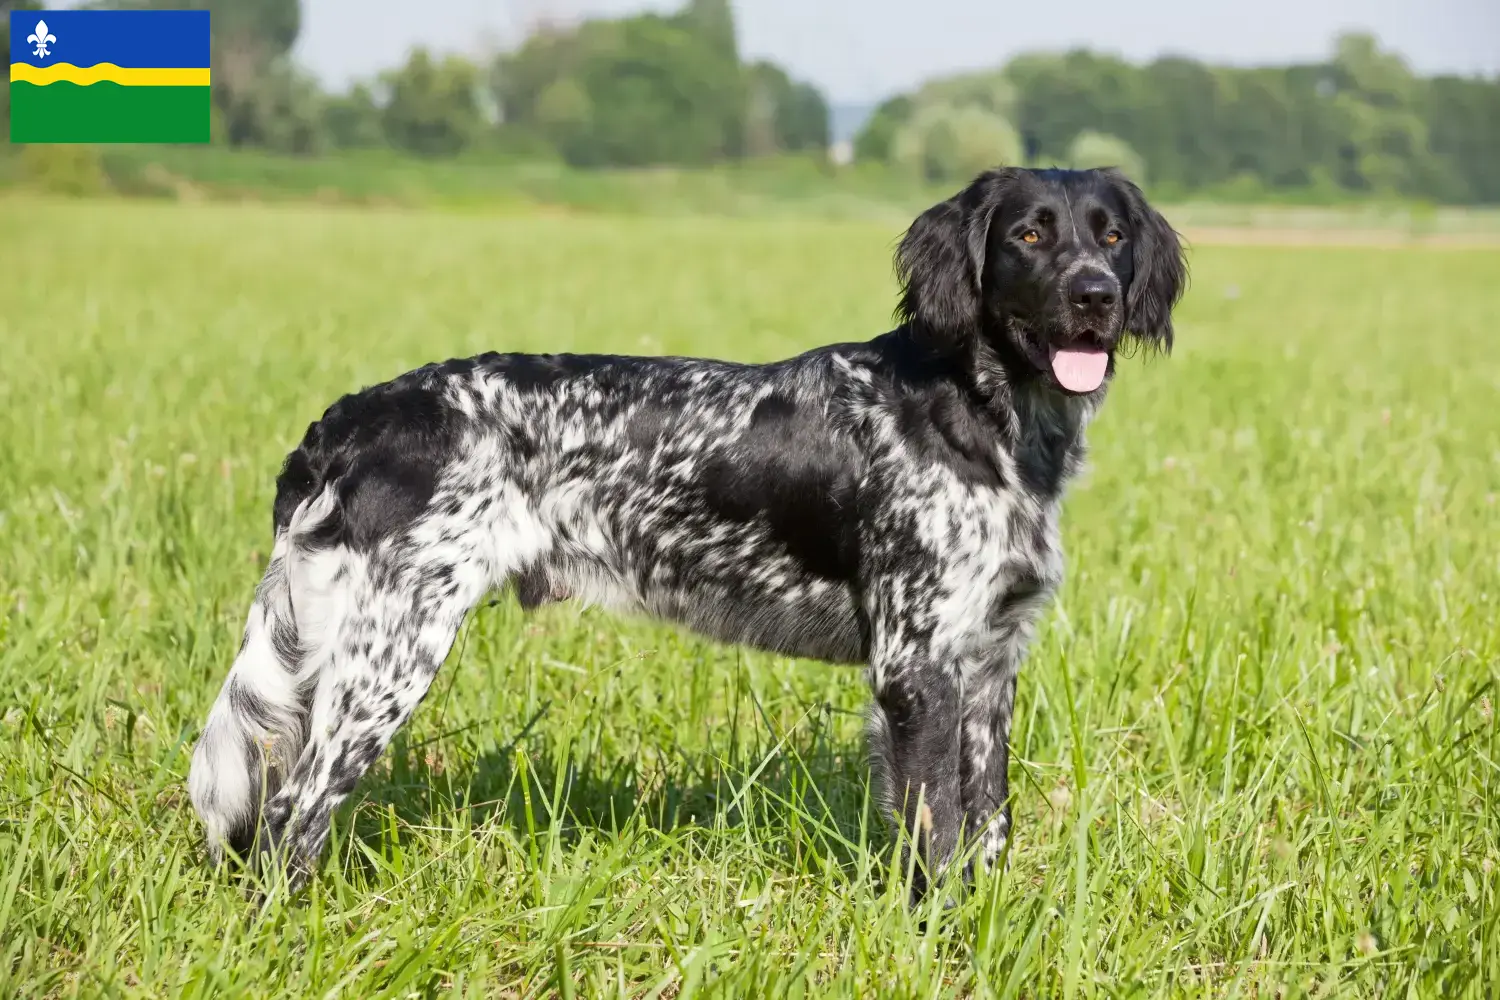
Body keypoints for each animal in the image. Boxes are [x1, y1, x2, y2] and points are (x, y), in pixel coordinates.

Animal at [187, 166, 1182, 899]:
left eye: (1111, 236)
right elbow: (935, 836)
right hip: (390, 652)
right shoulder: (917, 665)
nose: (1095, 296)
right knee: (289, 817)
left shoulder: (988, 663)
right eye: (1029, 236)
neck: (977, 411)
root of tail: (347, 421)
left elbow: (987, 825)